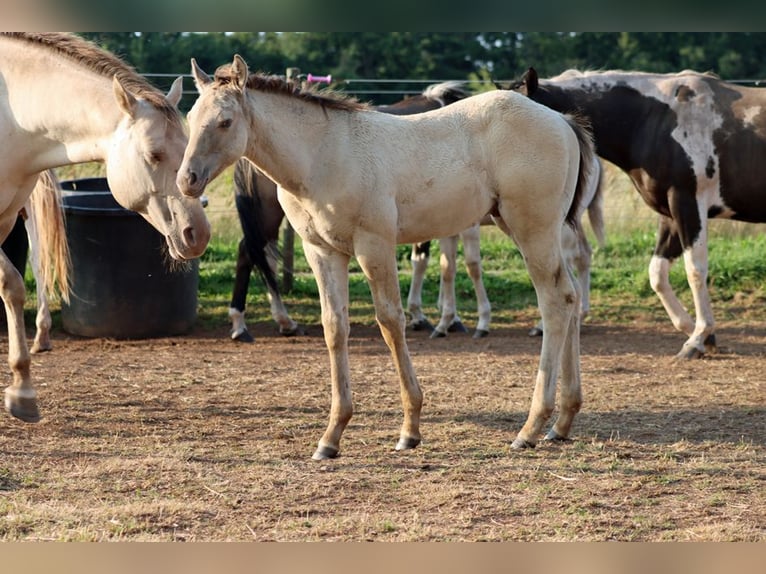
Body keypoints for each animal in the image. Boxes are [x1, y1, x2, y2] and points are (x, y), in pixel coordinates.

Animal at [228, 81, 493, 343]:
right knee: (248, 252)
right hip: (269, 215)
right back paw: (244, 324)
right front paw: (460, 319)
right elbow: (462, 264)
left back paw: (281, 322)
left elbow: (438, 264)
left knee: (262, 257)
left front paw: (440, 317)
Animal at [512, 67, 766, 359]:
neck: (656, 119)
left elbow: (695, 270)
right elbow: (657, 273)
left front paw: (698, 337)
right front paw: (696, 331)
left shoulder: (688, 204)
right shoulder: (670, 214)